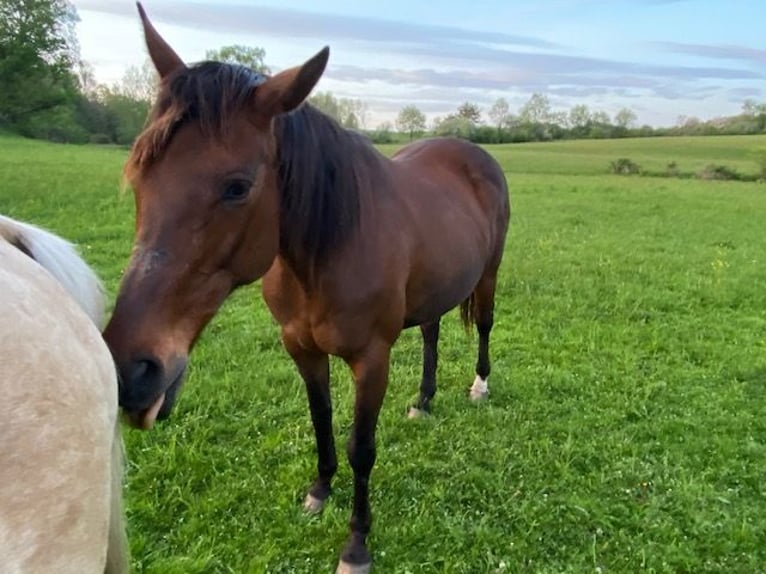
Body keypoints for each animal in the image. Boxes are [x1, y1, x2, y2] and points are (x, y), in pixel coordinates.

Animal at [100, 3, 510, 572]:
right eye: (139, 178)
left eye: (237, 187)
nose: (131, 371)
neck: (325, 251)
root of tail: (473, 152)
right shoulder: (300, 347)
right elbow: (321, 419)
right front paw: (318, 492)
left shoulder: (372, 358)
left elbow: (363, 446)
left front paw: (356, 544)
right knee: (431, 332)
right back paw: (423, 401)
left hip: (489, 274)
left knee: (485, 325)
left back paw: (479, 386)